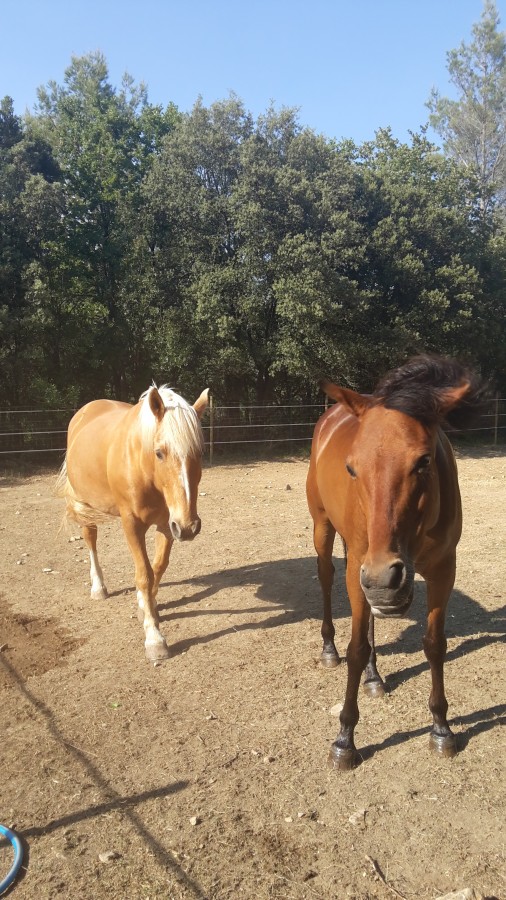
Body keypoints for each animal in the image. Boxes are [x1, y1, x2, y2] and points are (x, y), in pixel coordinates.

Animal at [58, 384, 209, 663]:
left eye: (200, 453)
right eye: (159, 453)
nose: (189, 527)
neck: (143, 467)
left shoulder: (167, 525)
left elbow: (157, 567)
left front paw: (147, 607)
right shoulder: (132, 524)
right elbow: (144, 575)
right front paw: (154, 638)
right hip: (84, 505)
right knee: (90, 538)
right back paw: (98, 587)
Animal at [306, 355, 484, 769]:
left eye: (423, 462)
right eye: (351, 467)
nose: (384, 579)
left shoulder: (443, 570)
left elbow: (435, 645)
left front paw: (441, 728)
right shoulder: (362, 566)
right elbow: (355, 648)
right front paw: (345, 740)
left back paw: (374, 677)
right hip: (327, 532)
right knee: (326, 578)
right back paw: (329, 650)